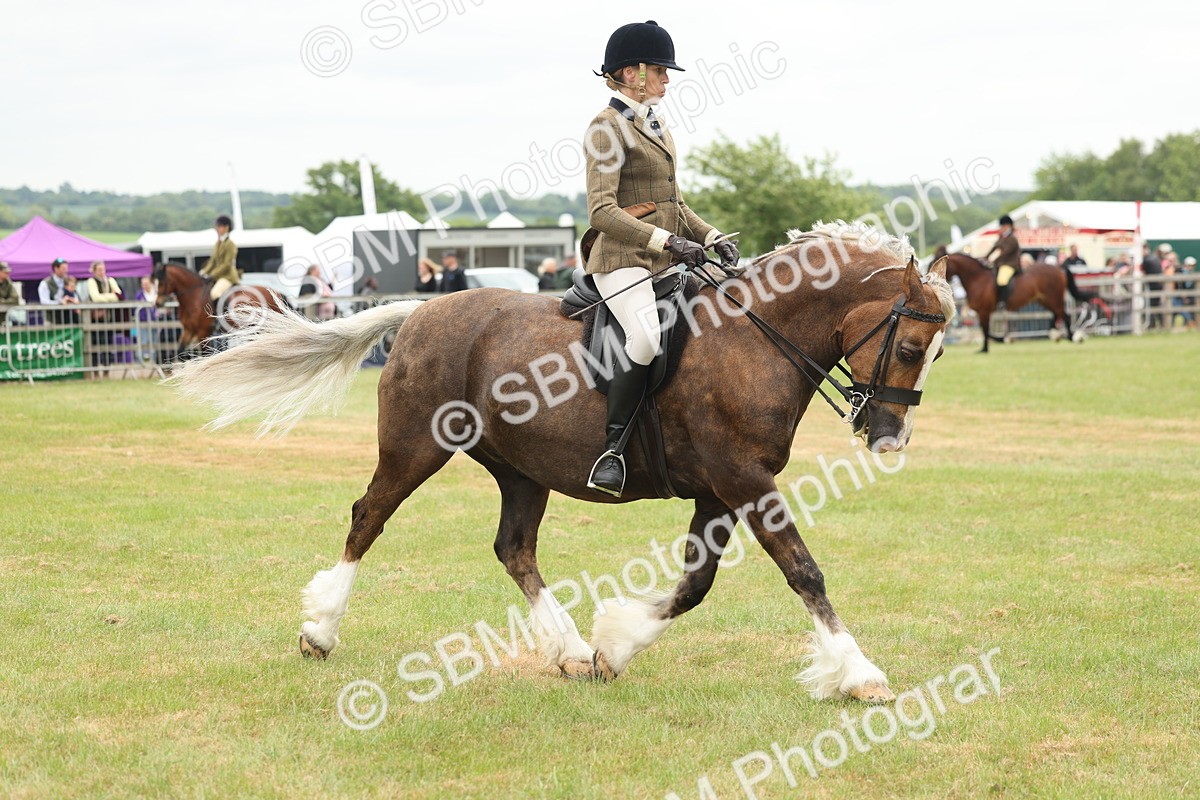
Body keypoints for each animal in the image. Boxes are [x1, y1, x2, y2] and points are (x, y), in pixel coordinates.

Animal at [154, 263, 290, 354]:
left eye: (162, 282)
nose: (158, 303)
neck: (194, 296)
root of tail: (275, 292)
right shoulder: (189, 330)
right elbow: (180, 350)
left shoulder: (203, 332)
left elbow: (205, 354)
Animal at [171, 221, 955, 705]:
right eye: (910, 347)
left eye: (934, 354)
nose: (888, 438)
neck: (754, 338)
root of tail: (418, 313)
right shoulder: (744, 481)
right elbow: (802, 570)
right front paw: (860, 675)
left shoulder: (721, 491)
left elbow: (694, 585)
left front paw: (615, 645)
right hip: (415, 448)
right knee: (369, 518)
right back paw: (319, 631)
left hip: (523, 470)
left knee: (514, 548)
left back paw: (573, 650)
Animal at [934, 246, 1106, 353]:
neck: (977, 278)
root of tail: (1058, 267)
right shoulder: (983, 312)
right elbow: (986, 331)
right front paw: (992, 344)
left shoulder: (984, 311)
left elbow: (986, 331)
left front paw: (991, 346)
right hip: (1044, 299)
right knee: (1056, 314)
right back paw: (1056, 334)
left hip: (1053, 297)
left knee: (1064, 314)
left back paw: (1074, 337)